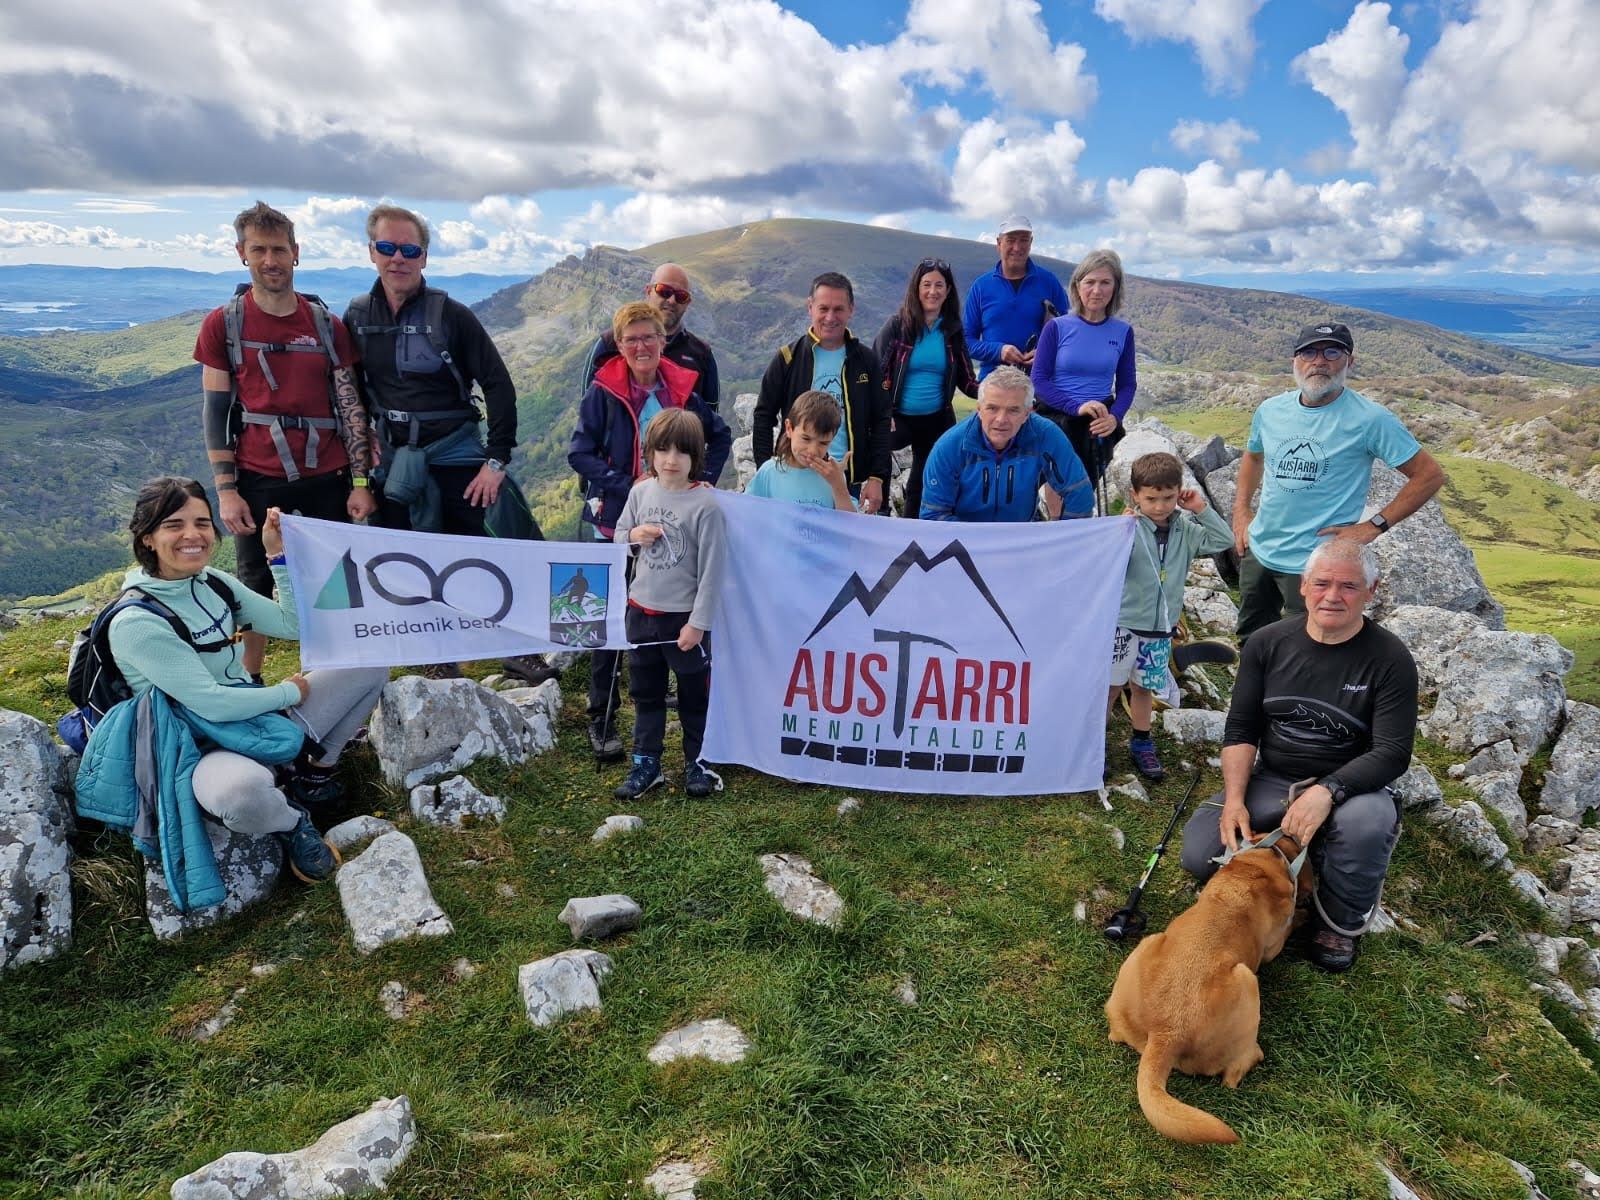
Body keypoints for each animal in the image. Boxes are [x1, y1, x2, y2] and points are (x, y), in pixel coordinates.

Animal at [1107, 838, 1305, 1145]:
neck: (1256, 865)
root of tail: (1166, 1033)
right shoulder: (1273, 946)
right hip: (1248, 981)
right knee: (1234, 1073)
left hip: (1145, 946)